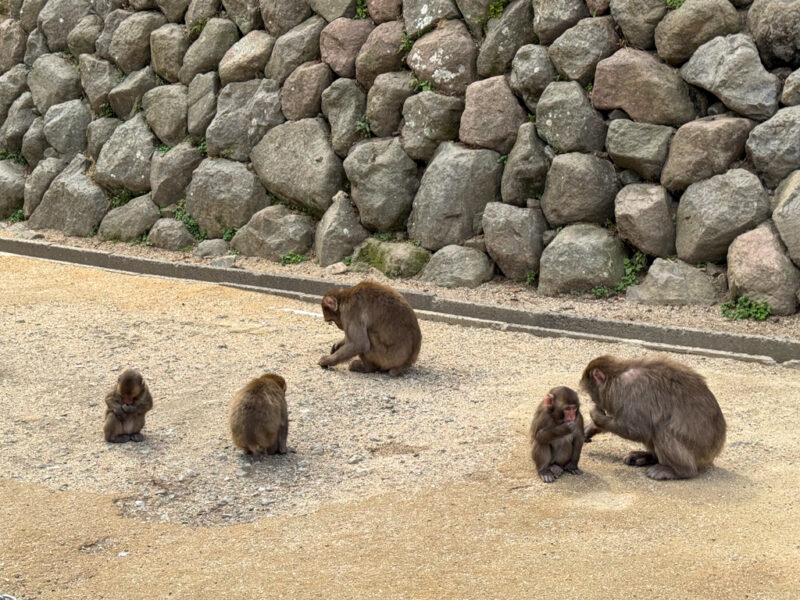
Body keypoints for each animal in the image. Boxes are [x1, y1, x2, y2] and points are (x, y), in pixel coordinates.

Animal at [580, 355, 726, 481]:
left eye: (591, 394)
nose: (595, 402)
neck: (616, 377)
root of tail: (715, 450)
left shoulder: (631, 392)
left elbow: (638, 430)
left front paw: (596, 417)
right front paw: (590, 429)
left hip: (698, 450)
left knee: (661, 428)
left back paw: (679, 471)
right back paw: (648, 457)